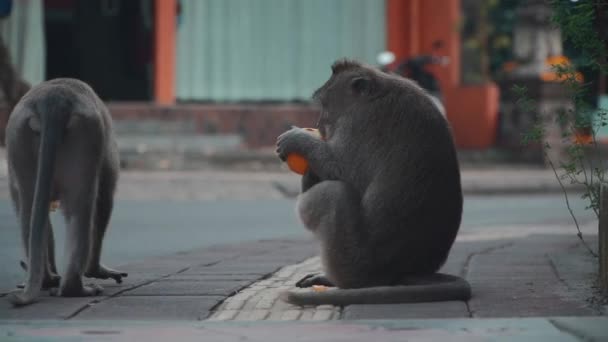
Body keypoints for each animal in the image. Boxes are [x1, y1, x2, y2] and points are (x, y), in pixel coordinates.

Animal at [6, 78, 127, 308]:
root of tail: (53, 98)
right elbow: (104, 200)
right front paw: (95, 270)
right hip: (85, 131)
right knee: (82, 207)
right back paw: (74, 288)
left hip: (19, 133)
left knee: (30, 210)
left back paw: (45, 280)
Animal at [276, 59, 470, 308]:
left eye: (325, 106)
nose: (319, 124)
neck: (376, 93)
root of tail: (398, 273)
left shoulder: (358, 123)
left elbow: (342, 172)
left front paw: (297, 139)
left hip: (354, 260)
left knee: (332, 193)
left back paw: (337, 281)